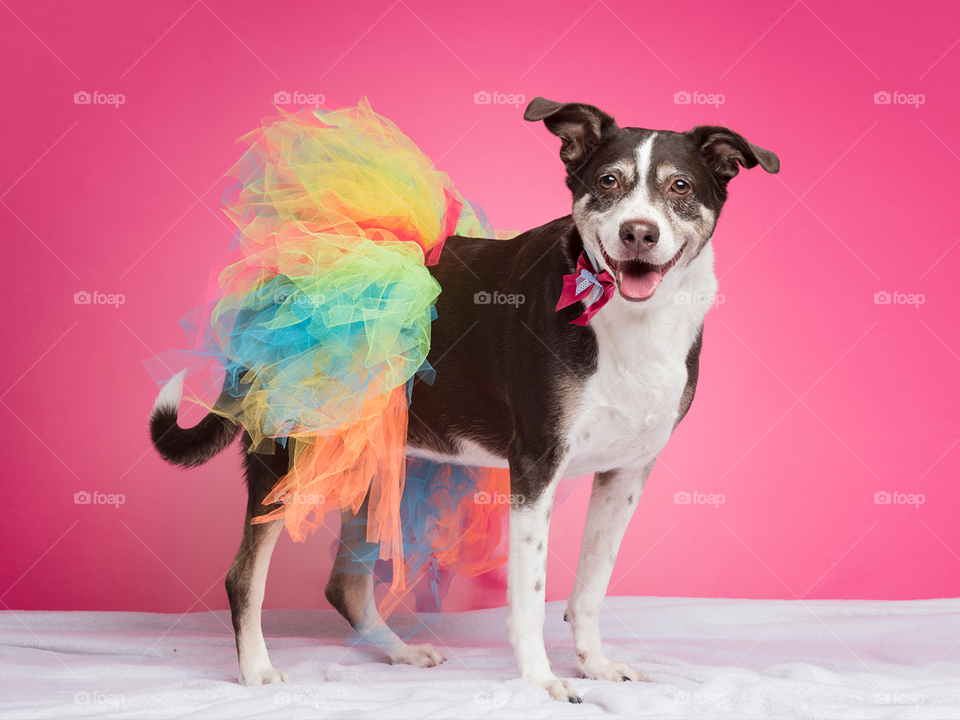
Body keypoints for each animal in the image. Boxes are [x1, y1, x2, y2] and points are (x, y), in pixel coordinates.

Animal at [150, 97, 780, 704]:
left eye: (681, 187)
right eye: (608, 181)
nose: (639, 233)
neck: (626, 319)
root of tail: (275, 281)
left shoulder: (627, 473)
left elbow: (591, 587)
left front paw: (596, 666)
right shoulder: (535, 468)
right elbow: (529, 596)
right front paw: (541, 681)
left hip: (374, 457)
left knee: (344, 585)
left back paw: (400, 652)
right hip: (289, 450)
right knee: (243, 575)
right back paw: (257, 670)